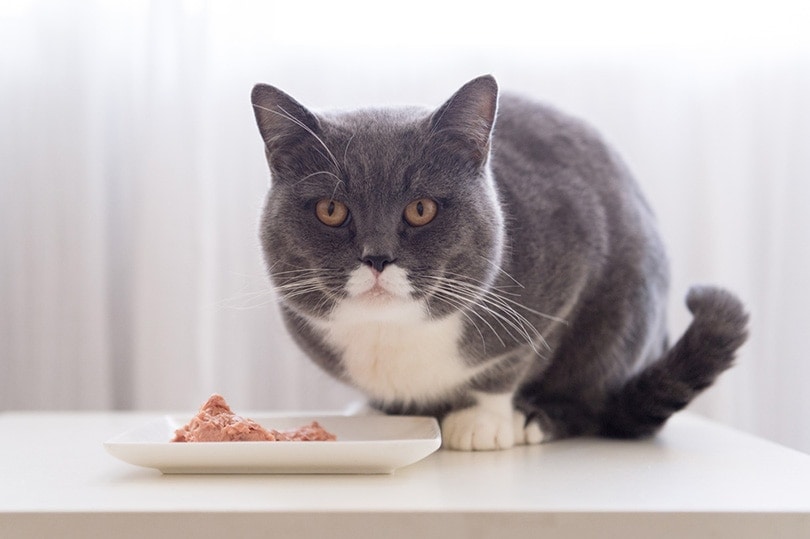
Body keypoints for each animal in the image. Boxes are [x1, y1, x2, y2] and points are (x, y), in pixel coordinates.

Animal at [249, 75, 748, 452]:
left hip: (626, 312)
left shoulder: (566, 273)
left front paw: (482, 422)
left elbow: (512, 363)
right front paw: (380, 411)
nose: (377, 256)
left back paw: (536, 419)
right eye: (331, 210)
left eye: (421, 209)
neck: (393, 332)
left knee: (593, 401)